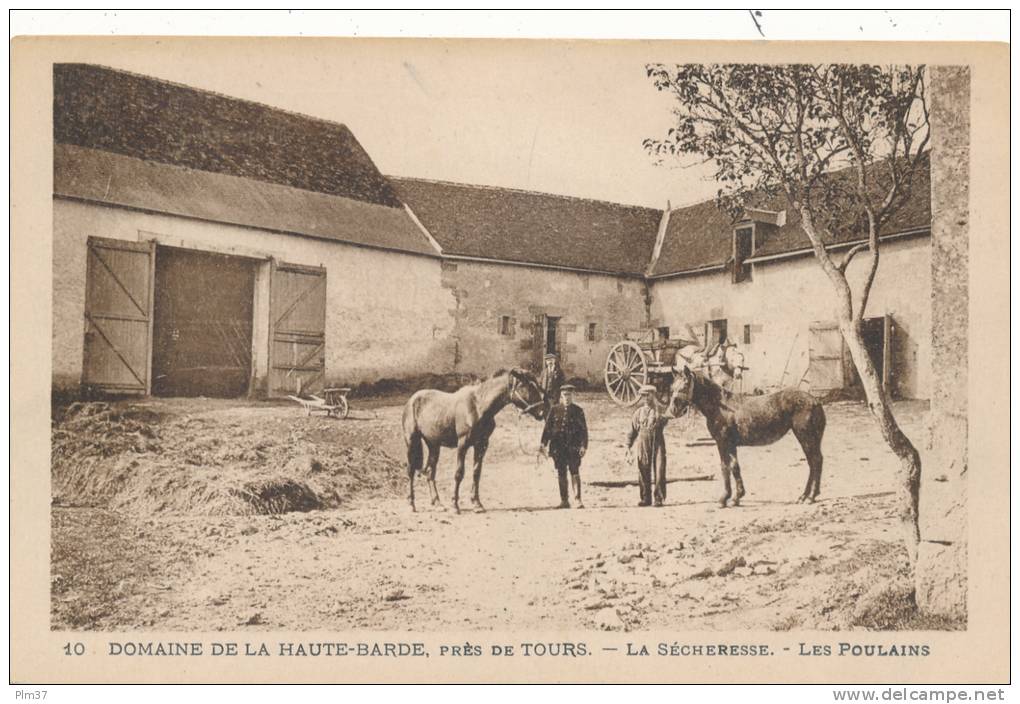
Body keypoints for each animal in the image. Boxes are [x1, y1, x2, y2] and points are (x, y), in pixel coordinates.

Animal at [399, 367, 550, 510]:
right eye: (526, 386)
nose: (542, 412)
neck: (478, 406)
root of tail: (412, 400)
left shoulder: (482, 444)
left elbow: (476, 473)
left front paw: (477, 503)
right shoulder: (463, 444)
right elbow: (459, 473)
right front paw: (455, 504)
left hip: (434, 445)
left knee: (430, 472)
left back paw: (437, 503)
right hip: (412, 442)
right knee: (411, 470)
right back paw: (411, 503)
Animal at [669, 365, 828, 508]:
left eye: (684, 386)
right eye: (672, 388)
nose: (673, 410)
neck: (720, 407)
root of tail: (815, 400)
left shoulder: (722, 442)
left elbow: (725, 467)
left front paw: (724, 499)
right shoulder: (731, 444)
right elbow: (734, 467)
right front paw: (736, 498)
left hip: (805, 436)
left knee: (815, 461)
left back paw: (810, 497)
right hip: (810, 437)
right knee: (814, 462)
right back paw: (805, 496)